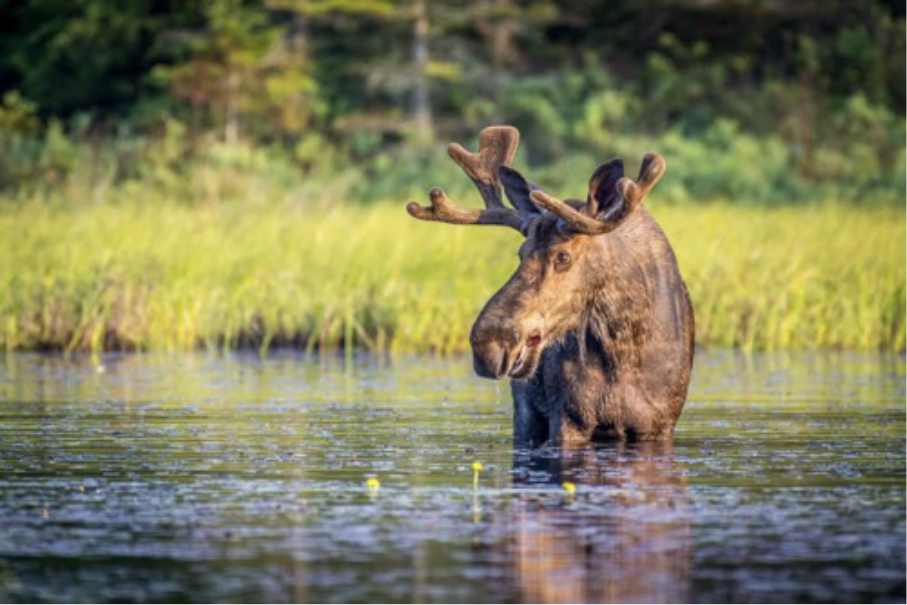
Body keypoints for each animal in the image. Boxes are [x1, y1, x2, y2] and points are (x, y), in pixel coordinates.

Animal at [408, 125, 700, 446]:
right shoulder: (568, 419)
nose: (487, 343)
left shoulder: (658, 426)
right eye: (521, 252)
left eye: (563, 256)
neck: (624, 346)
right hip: (525, 413)